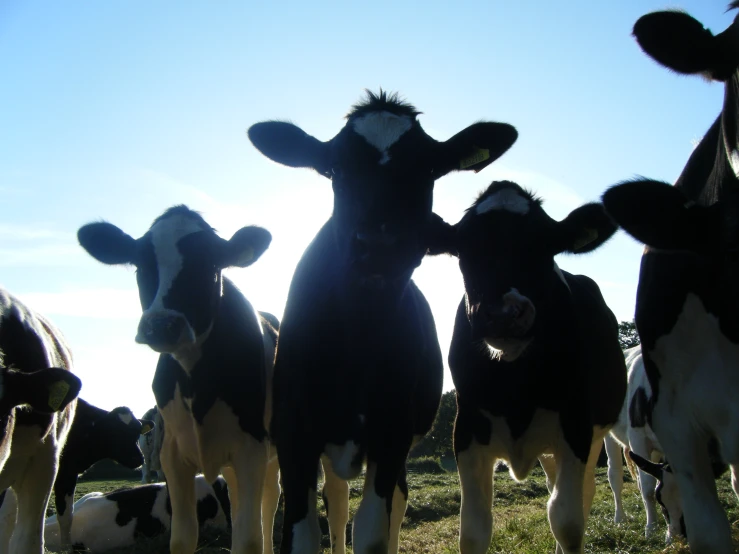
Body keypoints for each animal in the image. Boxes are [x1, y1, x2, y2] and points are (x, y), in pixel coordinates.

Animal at [77, 206, 280, 552]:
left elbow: (250, 538)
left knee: (272, 500)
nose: (162, 324)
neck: (196, 382)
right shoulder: (172, 455)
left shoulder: (251, 448)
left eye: (211, 265)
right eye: (140, 264)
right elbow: (182, 537)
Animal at [247, 90, 516, 552]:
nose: (378, 244)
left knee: (396, 503)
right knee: (337, 500)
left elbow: (372, 531)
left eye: (428, 169)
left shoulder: (392, 432)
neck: (358, 331)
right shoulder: (294, 434)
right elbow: (302, 535)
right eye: (335, 168)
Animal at [430, 181, 628, 552]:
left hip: (592, 436)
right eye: (464, 249)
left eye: (545, 247)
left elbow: (567, 522)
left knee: (580, 495)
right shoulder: (466, 429)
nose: (501, 313)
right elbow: (473, 530)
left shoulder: (576, 426)